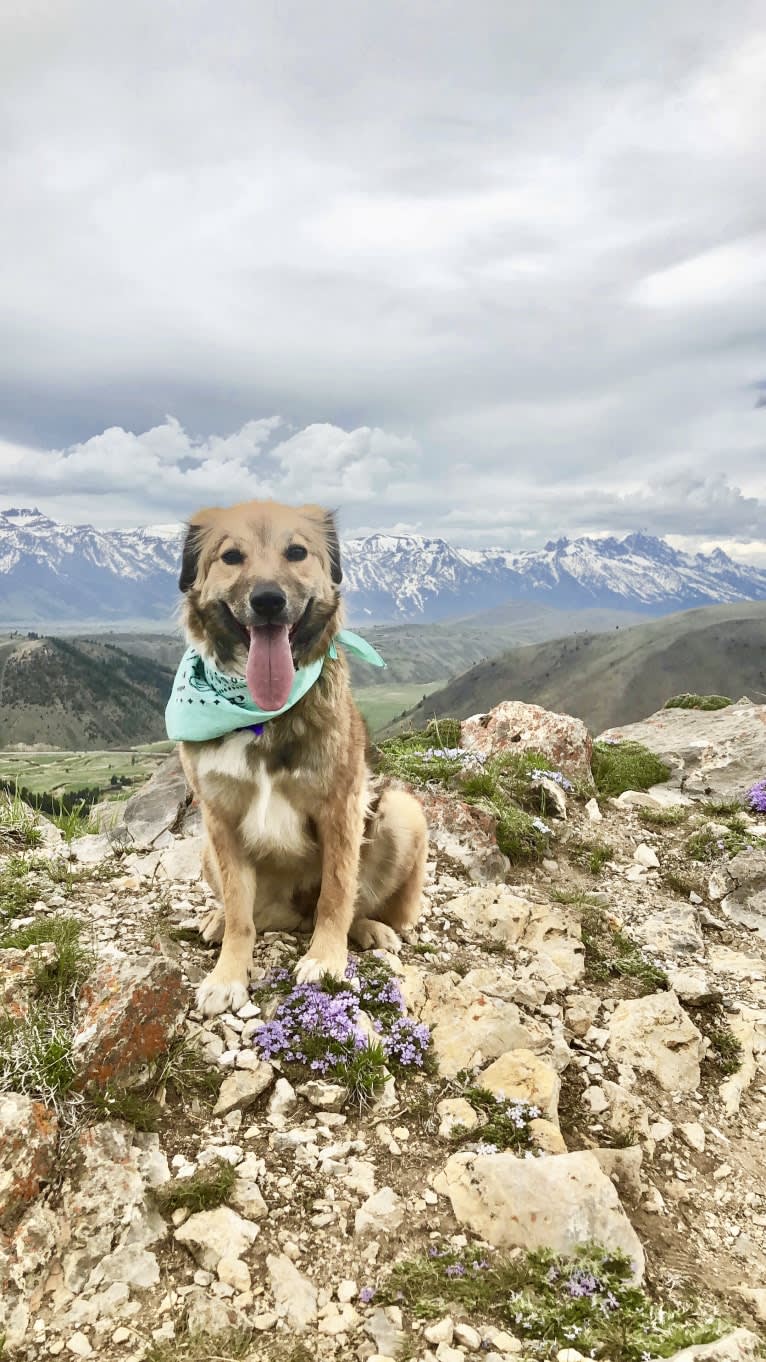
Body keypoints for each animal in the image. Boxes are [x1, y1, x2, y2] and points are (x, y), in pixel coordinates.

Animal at [173, 498, 430, 1013]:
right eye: (231, 557)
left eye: (296, 552)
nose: (268, 600)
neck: (260, 713)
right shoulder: (220, 818)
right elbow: (240, 913)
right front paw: (228, 973)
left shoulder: (340, 807)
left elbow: (337, 894)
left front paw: (327, 959)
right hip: (207, 851)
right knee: (251, 912)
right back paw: (216, 919)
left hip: (402, 813)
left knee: (353, 905)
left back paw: (370, 930)